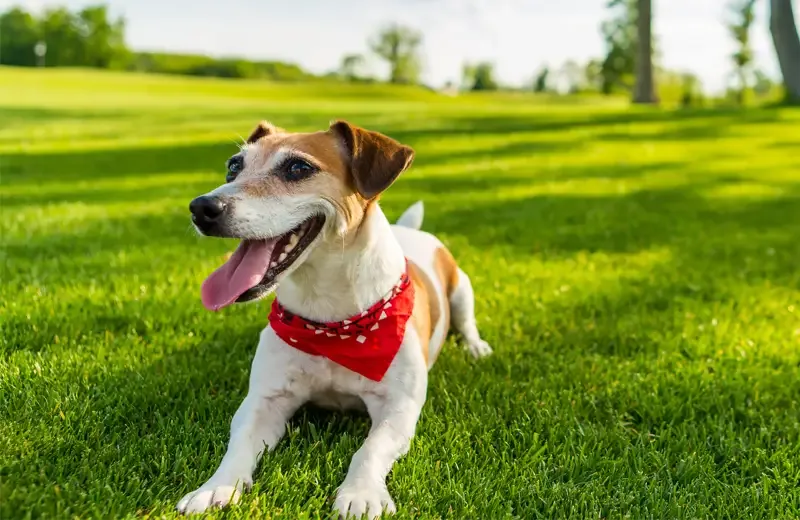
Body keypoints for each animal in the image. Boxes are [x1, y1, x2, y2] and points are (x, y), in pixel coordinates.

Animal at [180, 120, 490, 516]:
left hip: (462, 289)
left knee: (466, 322)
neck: (331, 324)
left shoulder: (399, 407)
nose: (202, 207)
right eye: (234, 166)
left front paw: (361, 493)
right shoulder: (265, 398)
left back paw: (476, 347)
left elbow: (370, 449)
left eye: (298, 168)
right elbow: (240, 441)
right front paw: (216, 487)